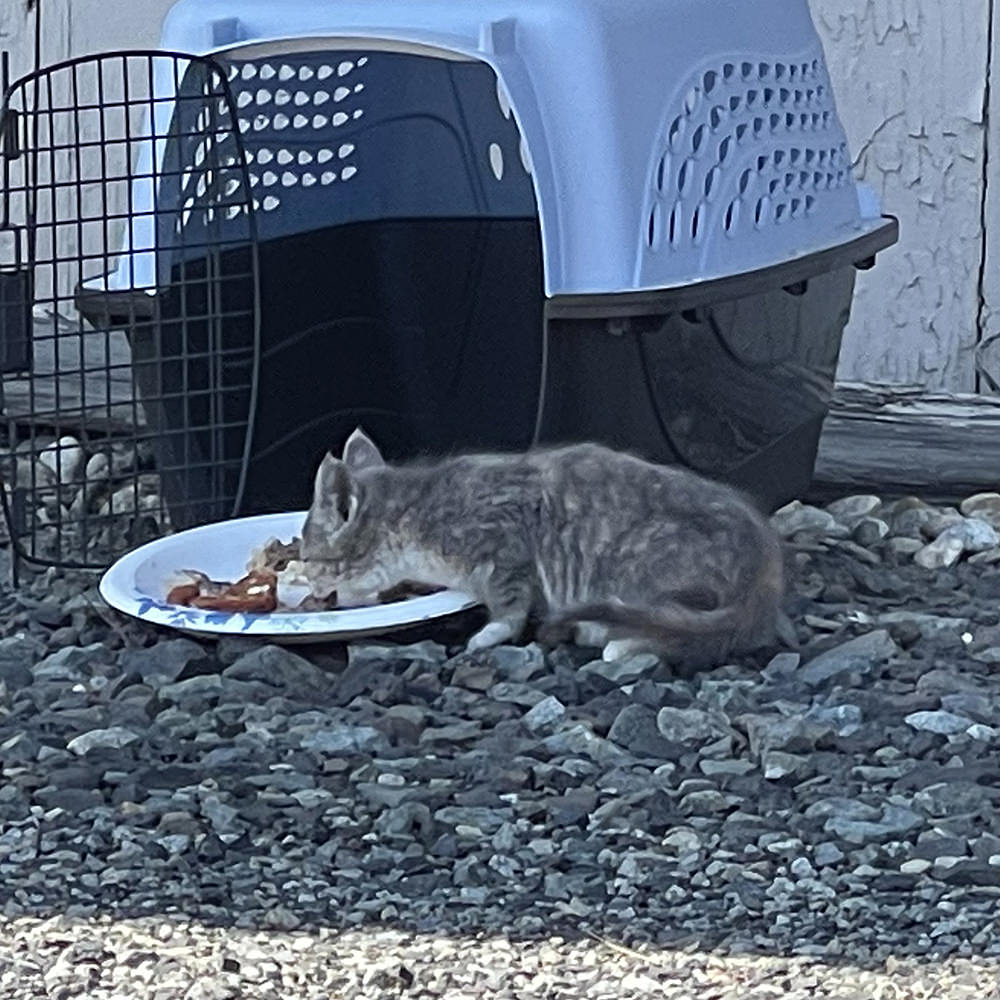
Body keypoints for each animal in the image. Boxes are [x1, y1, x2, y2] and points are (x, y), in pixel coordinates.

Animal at [300, 430, 784, 664]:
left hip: (640, 562)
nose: (309, 585)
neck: (415, 515)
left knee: (680, 631)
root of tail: (762, 576)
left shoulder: (505, 543)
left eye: (306, 557)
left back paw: (621, 642)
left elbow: (510, 607)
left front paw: (491, 632)